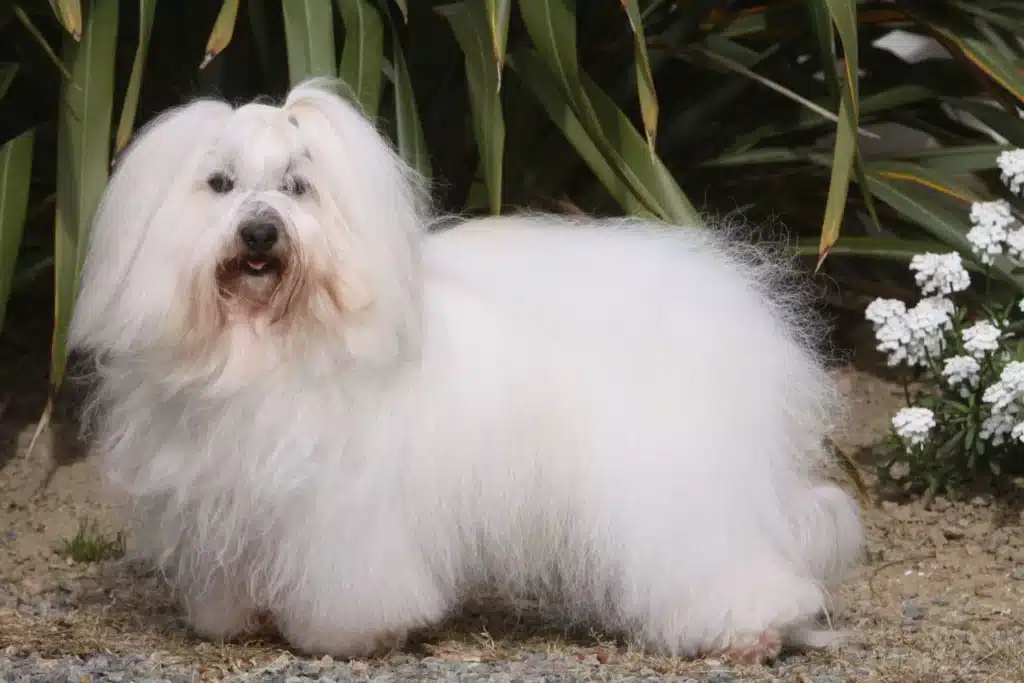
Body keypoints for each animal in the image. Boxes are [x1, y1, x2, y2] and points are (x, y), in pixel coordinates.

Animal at [68, 78, 864, 663]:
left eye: (298, 186)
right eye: (220, 182)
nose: (260, 233)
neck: (274, 343)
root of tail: (731, 303)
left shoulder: (343, 511)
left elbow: (347, 580)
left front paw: (341, 636)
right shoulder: (230, 497)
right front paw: (238, 618)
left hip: (676, 488)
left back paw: (747, 632)